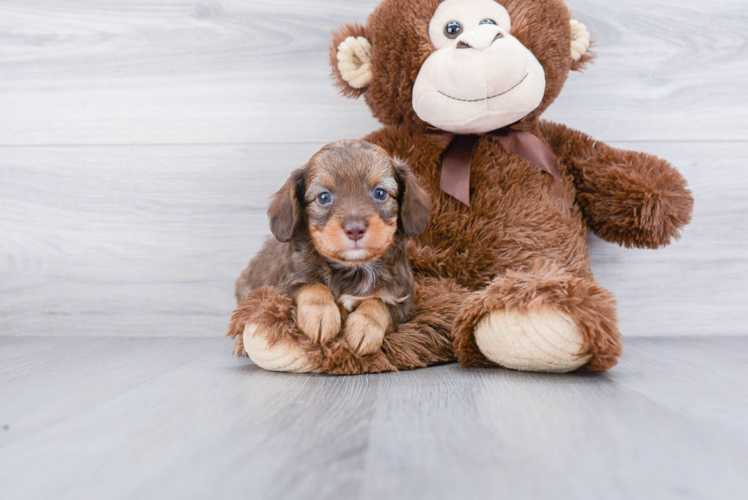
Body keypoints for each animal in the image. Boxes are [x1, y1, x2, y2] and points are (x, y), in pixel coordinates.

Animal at [234, 139, 432, 354]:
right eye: (324, 197)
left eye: (380, 193)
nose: (355, 229)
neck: (353, 268)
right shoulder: (281, 289)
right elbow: (311, 286)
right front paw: (321, 313)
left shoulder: (405, 301)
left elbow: (379, 304)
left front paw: (365, 326)